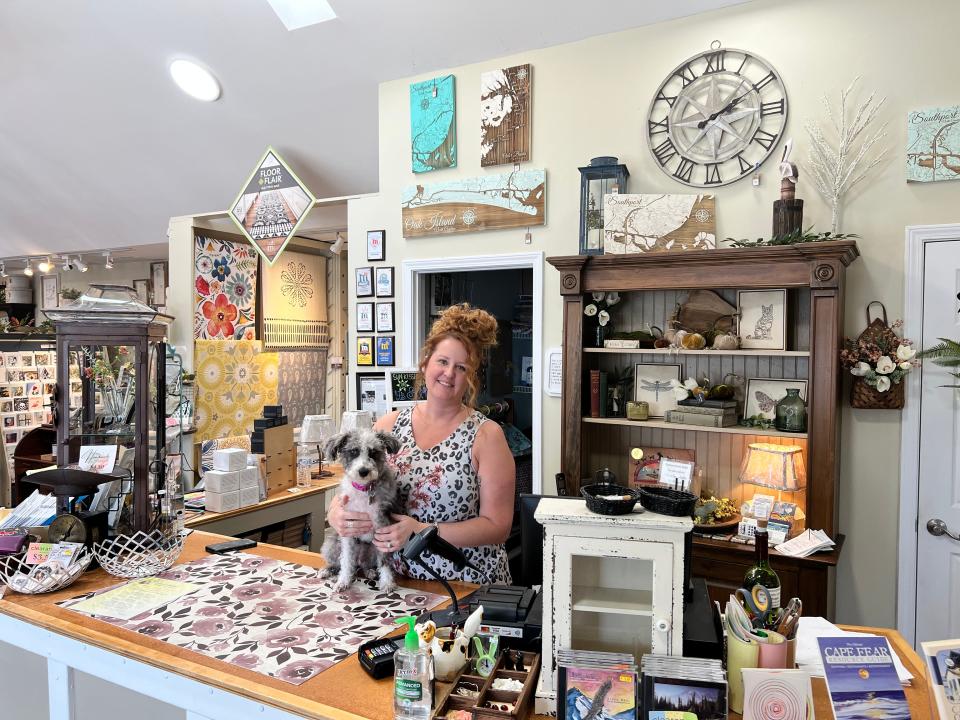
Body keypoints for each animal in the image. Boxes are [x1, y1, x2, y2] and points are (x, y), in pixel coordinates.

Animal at [320, 428, 400, 592]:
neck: (364, 490)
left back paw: (370, 571)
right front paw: (343, 581)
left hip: (372, 550)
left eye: (373, 452)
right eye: (354, 451)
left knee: (365, 564)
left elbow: (385, 561)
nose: (363, 471)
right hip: (331, 545)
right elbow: (346, 560)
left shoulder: (383, 527)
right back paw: (328, 570)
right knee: (343, 562)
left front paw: (387, 582)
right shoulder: (348, 530)